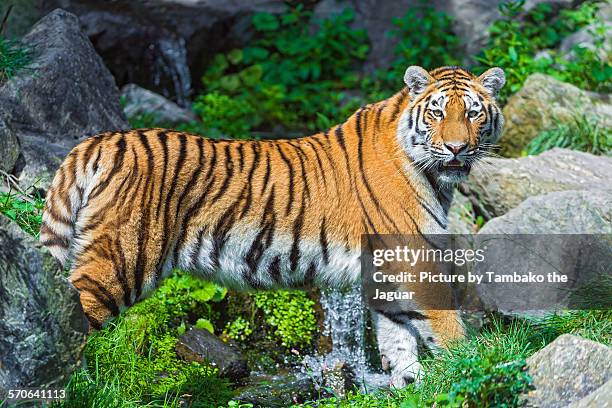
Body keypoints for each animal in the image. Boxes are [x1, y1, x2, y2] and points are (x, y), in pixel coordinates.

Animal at [40, 64, 504, 386]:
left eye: (474, 114)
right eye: (438, 113)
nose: (457, 148)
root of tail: (102, 140)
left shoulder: (387, 271)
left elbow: (399, 335)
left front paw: (411, 384)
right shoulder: (414, 257)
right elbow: (445, 326)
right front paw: (473, 365)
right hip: (120, 258)